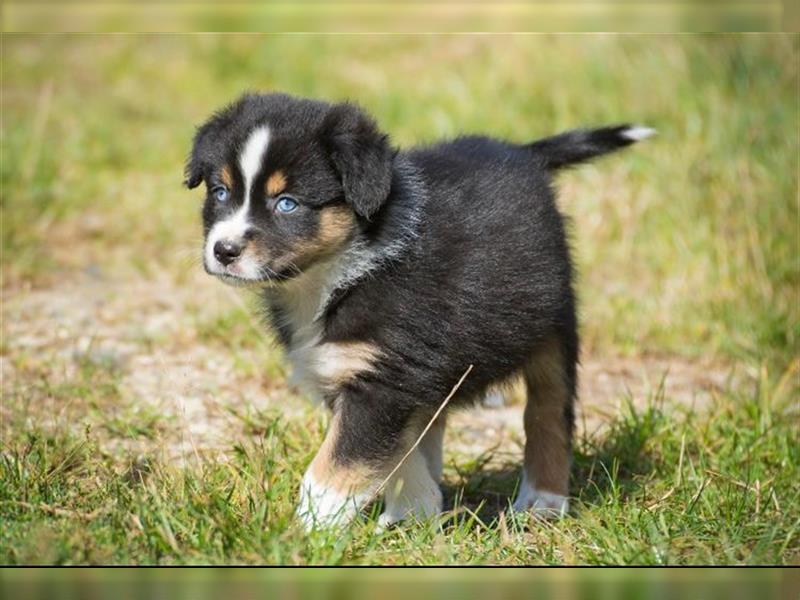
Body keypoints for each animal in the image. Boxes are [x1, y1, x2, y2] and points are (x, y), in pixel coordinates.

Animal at [184, 94, 652, 528]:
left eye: (287, 203)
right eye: (220, 192)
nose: (223, 250)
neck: (339, 273)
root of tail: (521, 154)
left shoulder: (384, 377)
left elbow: (335, 466)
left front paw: (306, 534)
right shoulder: (358, 373)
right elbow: (395, 448)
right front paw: (416, 510)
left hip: (552, 324)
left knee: (548, 414)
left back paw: (543, 501)